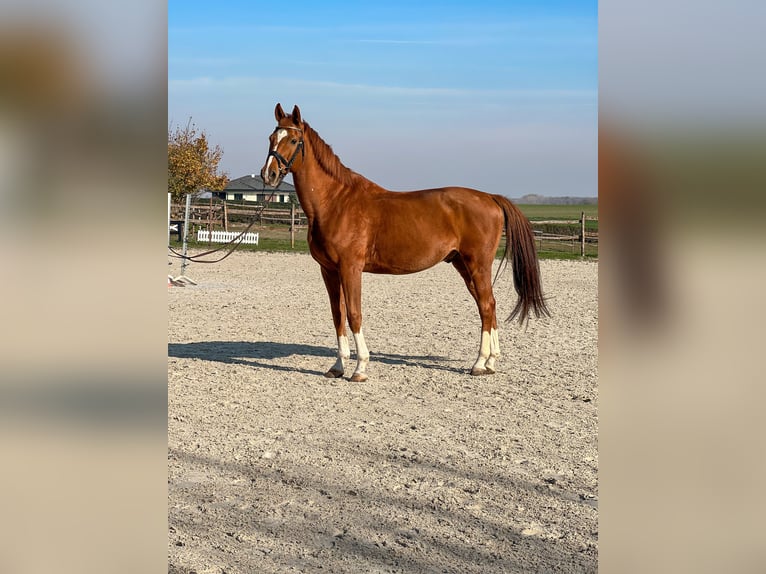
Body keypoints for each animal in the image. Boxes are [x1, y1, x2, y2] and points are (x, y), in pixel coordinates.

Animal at [260, 104, 548, 382]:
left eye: (294, 139)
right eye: (272, 138)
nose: (269, 174)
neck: (336, 202)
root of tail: (490, 197)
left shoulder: (350, 268)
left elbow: (354, 314)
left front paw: (360, 368)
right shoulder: (329, 270)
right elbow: (337, 315)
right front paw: (338, 366)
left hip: (478, 264)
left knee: (487, 306)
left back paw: (479, 364)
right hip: (462, 265)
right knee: (487, 305)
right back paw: (490, 362)